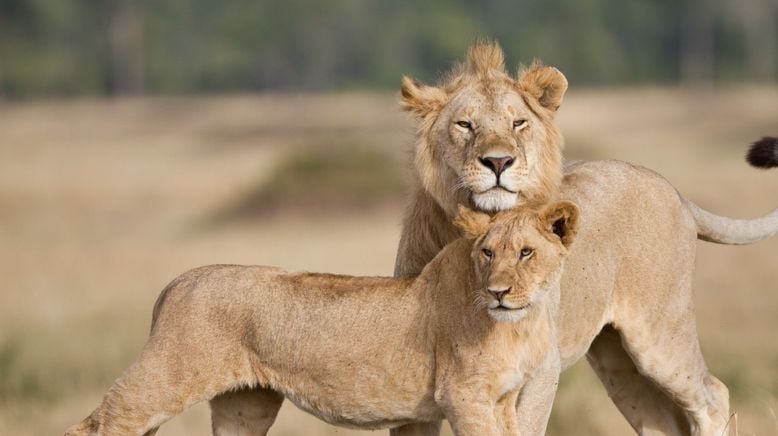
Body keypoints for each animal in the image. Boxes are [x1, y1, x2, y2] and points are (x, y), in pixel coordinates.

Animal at [65, 203, 576, 434]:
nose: (498, 292)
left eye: (526, 253)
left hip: (245, 404)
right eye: (488, 253)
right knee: (97, 423)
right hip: (165, 378)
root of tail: (180, 279)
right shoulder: (463, 396)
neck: (521, 323)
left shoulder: (502, 400)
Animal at [388, 41, 776, 436]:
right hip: (617, 363)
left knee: (713, 395)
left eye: (518, 123)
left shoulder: (542, 368)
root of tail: (675, 191)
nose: (498, 162)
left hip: (660, 335)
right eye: (465, 124)